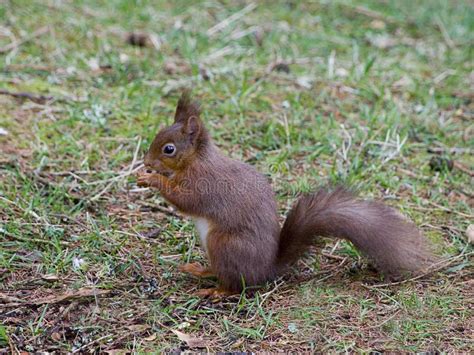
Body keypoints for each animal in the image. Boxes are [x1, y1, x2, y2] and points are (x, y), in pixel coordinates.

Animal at [136, 92, 434, 298]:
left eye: (169, 149)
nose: (146, 161)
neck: (195, 160)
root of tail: (267, 270)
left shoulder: (204, 184)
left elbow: (186, 201)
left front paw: (152, 179)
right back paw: (200, 270)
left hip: (224, 244)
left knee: (235, 283)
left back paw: (217, 291)